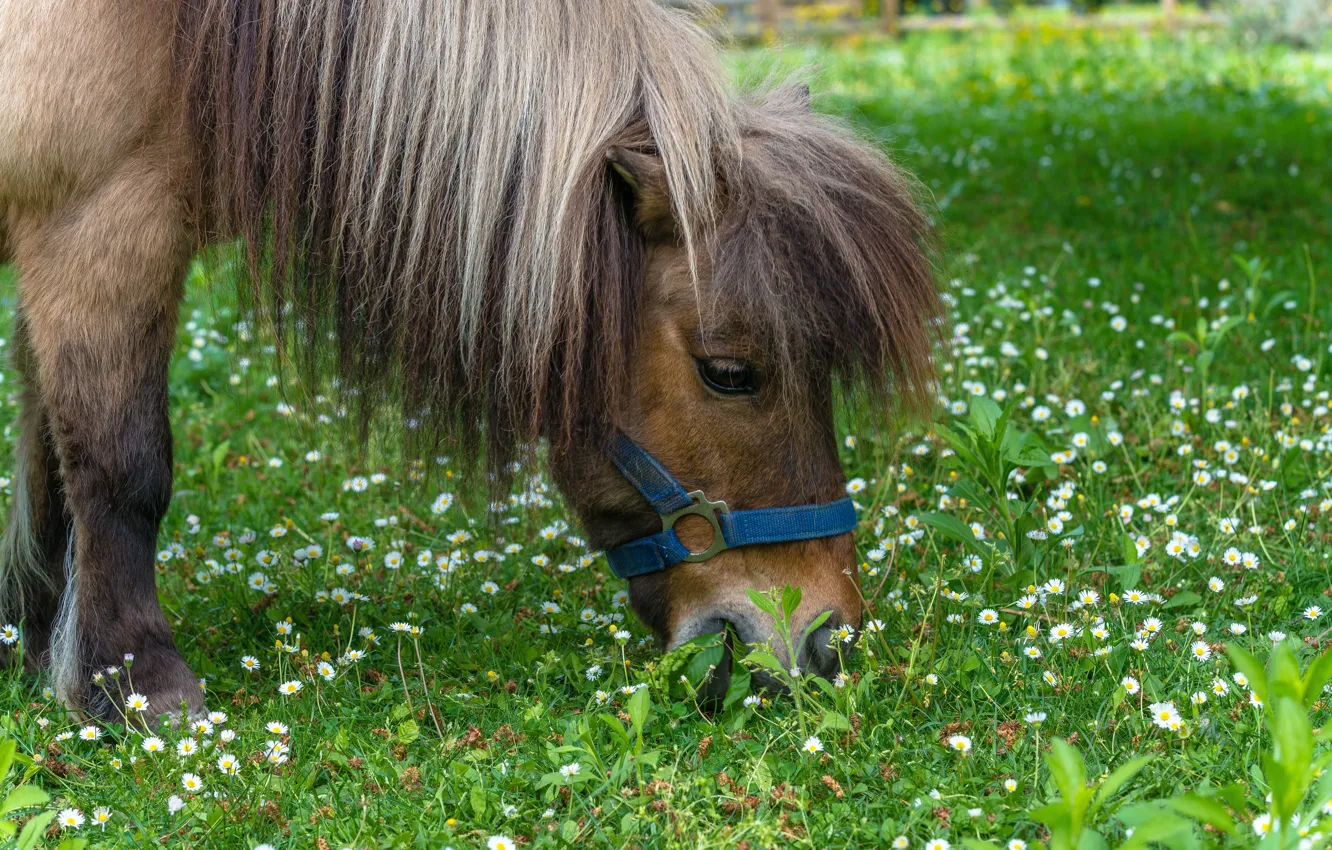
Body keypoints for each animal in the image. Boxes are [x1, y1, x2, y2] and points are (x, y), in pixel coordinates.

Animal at [0, 0, 939, 723]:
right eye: (730, 372)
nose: (829, 641)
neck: (175, 30)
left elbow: (49, 464)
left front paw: (37, 646)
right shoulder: (98, 225)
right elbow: (121, 467)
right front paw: (133, 685)